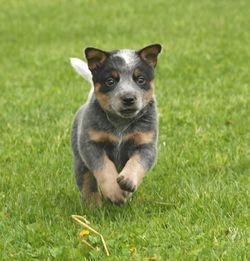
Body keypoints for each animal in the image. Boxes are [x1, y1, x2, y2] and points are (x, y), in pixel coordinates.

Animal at [70, 43, 162, 205]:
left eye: (140, 79)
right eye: (110, 81)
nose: (128, 98)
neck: (121, 124)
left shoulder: (146, 144)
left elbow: (137, 162)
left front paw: (128, 182)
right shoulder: (90, 144)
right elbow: (104, 167)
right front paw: (114, 192)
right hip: (80, 161)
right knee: (88, 183)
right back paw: (93, 205)